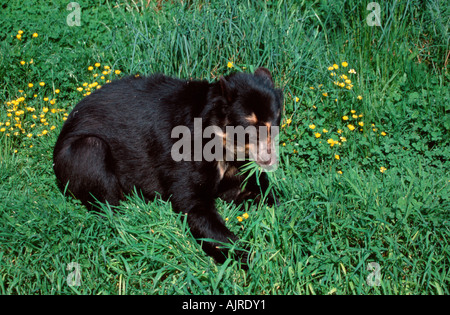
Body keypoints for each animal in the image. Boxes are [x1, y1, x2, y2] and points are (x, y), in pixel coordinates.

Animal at [52, 68, 282, 268]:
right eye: (249, 126)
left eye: (275, 122)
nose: (270, 159)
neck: (224, 145)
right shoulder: (186, 152)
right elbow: (195, 206)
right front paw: (248, 256)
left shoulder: (234, 167)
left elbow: (242, 190)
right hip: (81, 152)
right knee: (99, 176)